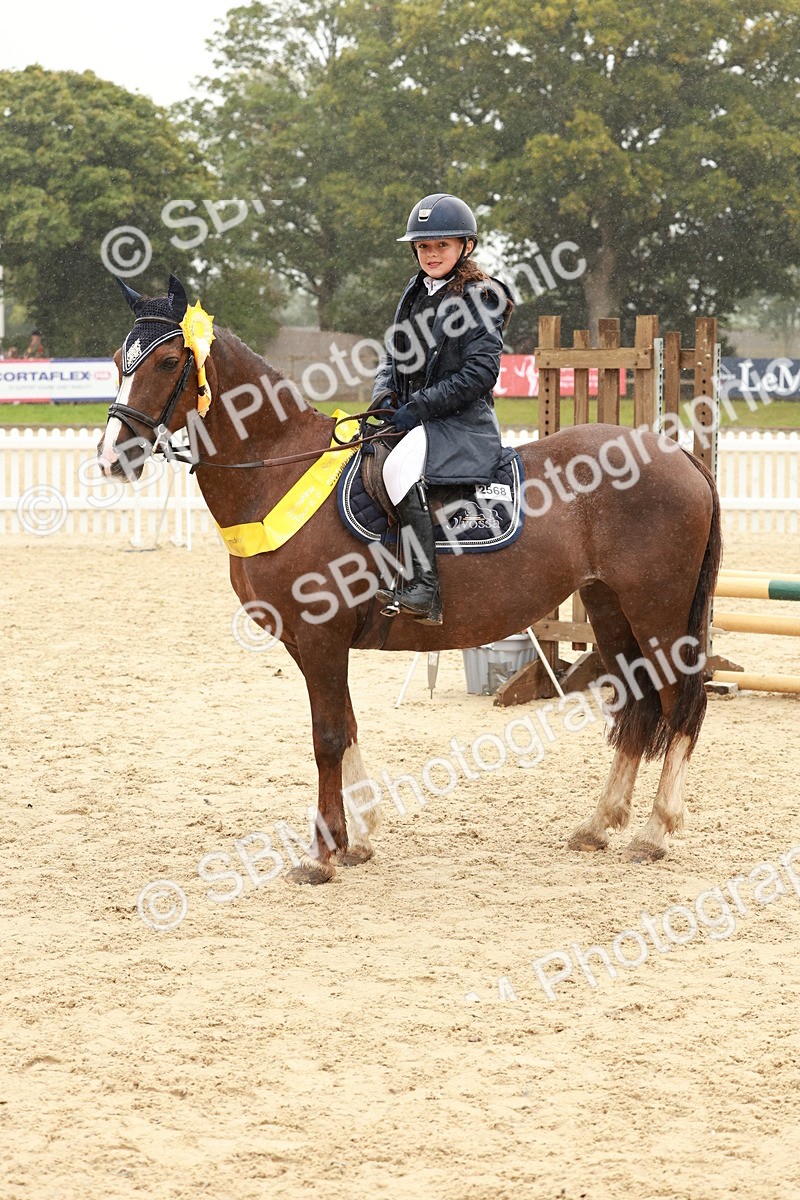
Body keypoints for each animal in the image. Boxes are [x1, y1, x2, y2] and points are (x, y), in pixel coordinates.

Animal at [99, 275, 721, 884]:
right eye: (117, 359)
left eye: (167, 362)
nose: (112, 459)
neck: (278, 469)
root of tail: (679, 456)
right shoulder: (304, 644)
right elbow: (347, 725)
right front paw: (358, 839)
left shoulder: (322, 637)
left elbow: (327, 737)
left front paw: (322, 855)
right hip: (609, 607)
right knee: (638, 704)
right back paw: (599, 825)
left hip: (657, 613)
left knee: (679, 704)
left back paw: (655, 832)